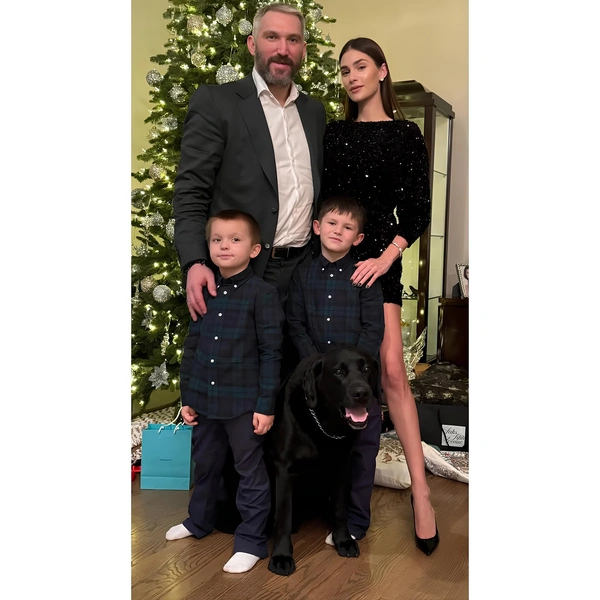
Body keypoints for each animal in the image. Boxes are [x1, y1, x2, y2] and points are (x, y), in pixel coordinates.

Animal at [267, 346, 382, 577]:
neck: (325, 425)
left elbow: (340, 508)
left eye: (366, 369)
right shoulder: (283, 468)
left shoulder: (342, 466)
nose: (362, 393)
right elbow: (283, 517)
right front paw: (281, 556)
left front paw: (343, 540)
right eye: (338, 372)